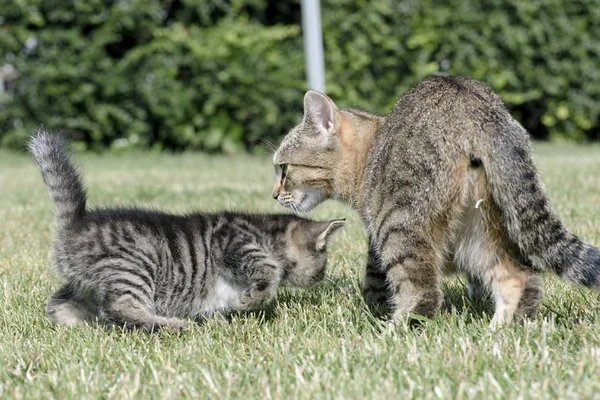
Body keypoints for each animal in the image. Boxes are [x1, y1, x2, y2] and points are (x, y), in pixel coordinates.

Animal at [29, 132, 346, 332]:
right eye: (323, 261)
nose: (322, 277)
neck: (266, 233)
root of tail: (77, 221)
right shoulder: (237, 243)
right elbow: (270, 272)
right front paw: (250, 300)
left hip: (86, 284)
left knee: (58, 303)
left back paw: (74, 325)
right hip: (135, 266)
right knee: (120, 306)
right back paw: (173, 325)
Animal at [274, 76, 600, 326]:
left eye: (283, 168)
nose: (274, 194)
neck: (368, 154)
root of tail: (476, 106)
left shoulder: (376, 235)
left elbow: (374, 281)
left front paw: (372, 310)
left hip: (399, 223)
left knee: (424, 293)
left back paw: (392, 332)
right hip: (487, 225)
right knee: (522, 279)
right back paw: (499, 331)